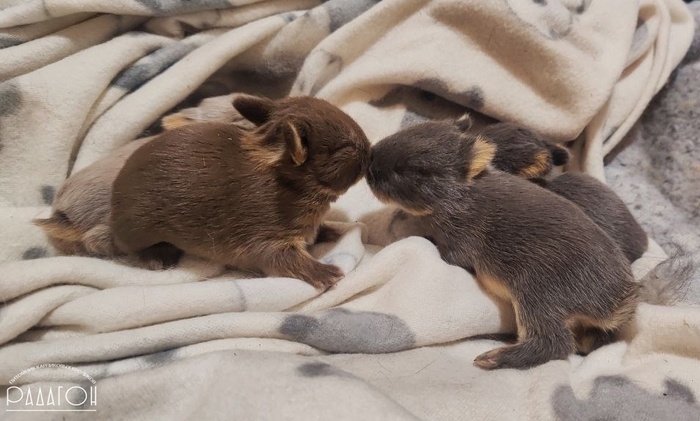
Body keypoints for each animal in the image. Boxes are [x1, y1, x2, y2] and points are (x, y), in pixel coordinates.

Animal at [111, 95, 371, 289]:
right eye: (346, 148)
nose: (371, 151)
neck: (292, 184)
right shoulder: (267, 241)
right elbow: (289, 261)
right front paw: (327, 273)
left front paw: (334, 230)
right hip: (138, 231)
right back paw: (157, 258)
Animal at [367, 119, 638, 370]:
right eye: (408, 130)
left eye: (416, 170)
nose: (369, 164)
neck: (465, 192)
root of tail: (618, 301)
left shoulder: (460, 246)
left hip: (537, 294)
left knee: (553, 342)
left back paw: (493, 357)